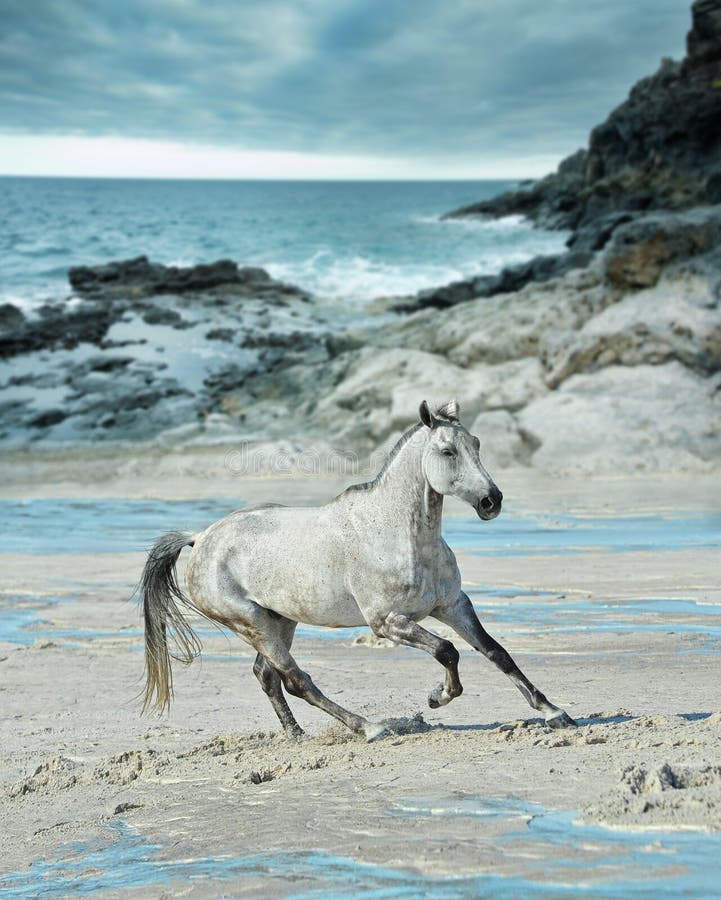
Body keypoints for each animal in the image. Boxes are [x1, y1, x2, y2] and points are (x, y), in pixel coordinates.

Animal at [139, 399, 576, 741]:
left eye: (477, 445)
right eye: (448, 451)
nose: (491, 501)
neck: (399, 535)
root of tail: (201, 539)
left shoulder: (452, 605)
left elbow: (496, 652)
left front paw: (555, 712)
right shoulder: (387, 623)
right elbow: (447, 651)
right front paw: (438, 697)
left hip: (279, 620)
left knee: (267, 675)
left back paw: (297, 735)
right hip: (252, 623)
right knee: (296, 680)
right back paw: (369, 727)